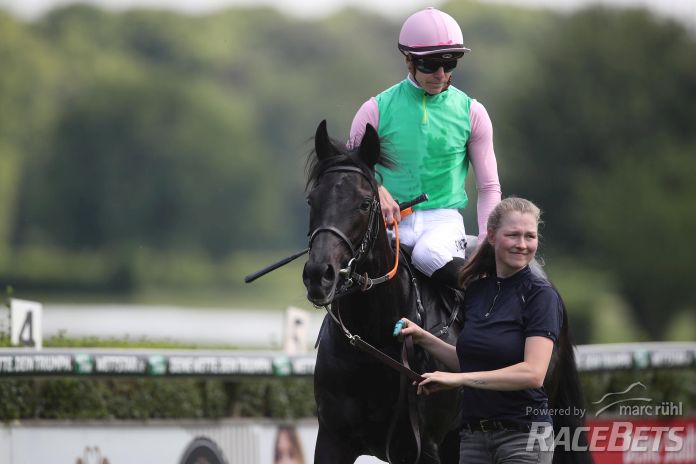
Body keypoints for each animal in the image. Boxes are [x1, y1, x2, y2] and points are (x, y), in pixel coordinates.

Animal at [302, 120, 462, 464]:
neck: (373, 342)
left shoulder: (425, 447)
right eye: (312, 200)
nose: (318, 275)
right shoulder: (333, 439)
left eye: (364, 203)